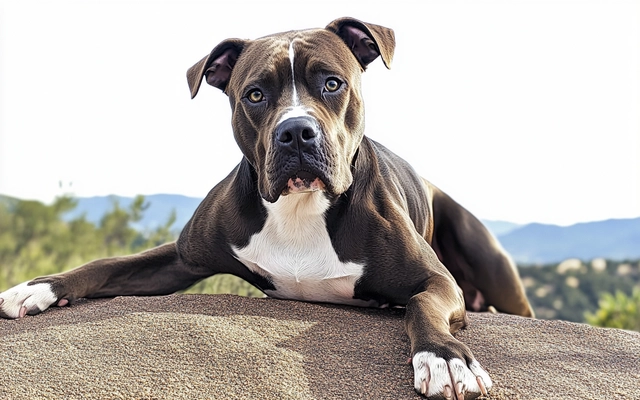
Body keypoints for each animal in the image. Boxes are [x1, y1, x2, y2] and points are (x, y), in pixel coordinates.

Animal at [1, 18, 536, 400]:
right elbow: (107, 265)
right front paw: (39, 288)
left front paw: (445, 359)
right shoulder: (181, 257)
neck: (300, 207)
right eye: (255, 94)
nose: (296, 131)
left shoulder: (436, 281)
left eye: (332, 84)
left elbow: (423, 305)